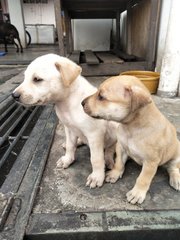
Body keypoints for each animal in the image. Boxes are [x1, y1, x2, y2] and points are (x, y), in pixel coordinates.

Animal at [11, 53, 117, 188]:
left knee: (111, 148)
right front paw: (68, 160)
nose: (14, 96)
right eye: (25, 77)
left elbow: (96, 158)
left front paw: (97, 176)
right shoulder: (69, 128)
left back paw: (108, 160)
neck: (68, 102)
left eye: (37, 79)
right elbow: (70, 146)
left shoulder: (95, 135)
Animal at [82, 75, 180, 204]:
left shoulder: (151, 162)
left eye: (101, 97)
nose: (82, 103)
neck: (131, 127)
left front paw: (137, 193)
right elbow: (119, 163)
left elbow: (143, 178)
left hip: (176, 154)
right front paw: (114, 174)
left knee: (173, 167)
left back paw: (176, 179)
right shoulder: (121, 147)